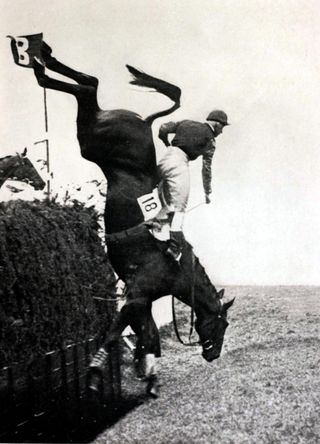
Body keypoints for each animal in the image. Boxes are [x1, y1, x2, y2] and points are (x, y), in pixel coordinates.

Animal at [33, 43, 235, 398]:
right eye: (222, 323)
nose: (213, 354)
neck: (177, 267)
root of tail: (143, 120)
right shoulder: (137, 295)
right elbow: (117, 334)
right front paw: (95, 373)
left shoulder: (142, 301)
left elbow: (149, 337)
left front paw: (150, 377)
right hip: (93, 140)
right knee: (90, 86)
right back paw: (40, 61)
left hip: (91, 139)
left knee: (88, 88)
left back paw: (41, 64)